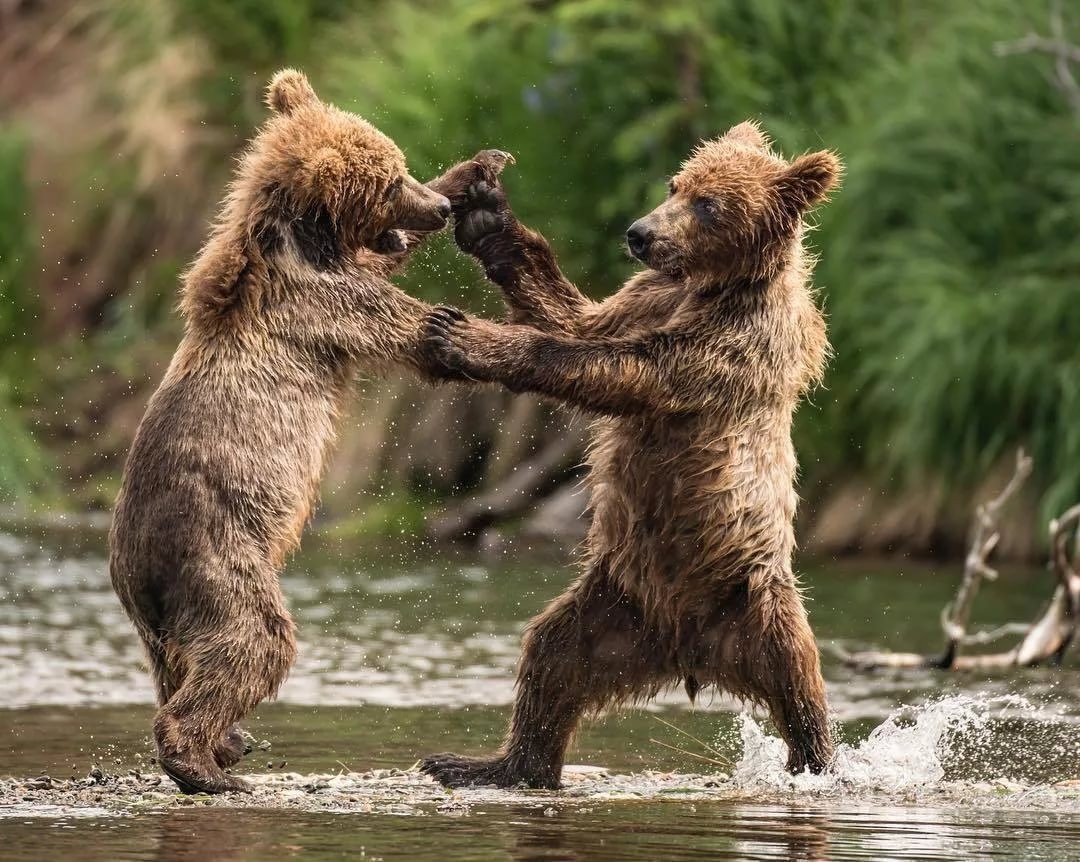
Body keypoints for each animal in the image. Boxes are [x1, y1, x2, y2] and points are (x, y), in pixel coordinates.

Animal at [108, 69, 509, 795]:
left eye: (402, 164)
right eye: (390, 180)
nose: (437, 207)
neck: (304, 239)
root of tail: (134, 568)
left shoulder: (338, 272)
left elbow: (385, 263)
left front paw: (478, 167)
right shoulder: (317, 303)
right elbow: (409, 325)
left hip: (159, 620)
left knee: (178, 667)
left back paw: (226, 744)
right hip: (220, 559)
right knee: (252, 643)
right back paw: (206, 764)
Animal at [423, 121, 842, 790]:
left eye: (709, 204)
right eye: (676, 184)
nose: (640, 233)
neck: (708, 284)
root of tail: (690, 651)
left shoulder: (732, 340)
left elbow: (625, 367)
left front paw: (466, 337)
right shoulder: (650, 295)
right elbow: (580, 321)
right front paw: (489, 216)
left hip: (754, 600)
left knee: (798, 681)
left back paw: (819, 763)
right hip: (614, 608)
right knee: (551, 658)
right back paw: (489, 765)